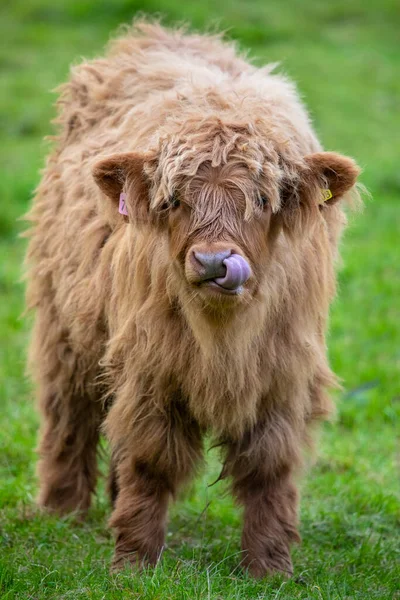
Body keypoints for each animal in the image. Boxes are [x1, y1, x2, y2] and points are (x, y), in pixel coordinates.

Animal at [26, 22, 360, 576]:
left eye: (262, 199)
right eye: (175, 200)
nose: (213, 262)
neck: (223, 335)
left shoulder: (283, 376)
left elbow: (268, 468)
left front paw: (270, 567)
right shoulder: (152, 367)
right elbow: (151, 460)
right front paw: (134, 563)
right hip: (64, 327)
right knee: (69, 416)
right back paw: (61, 512)